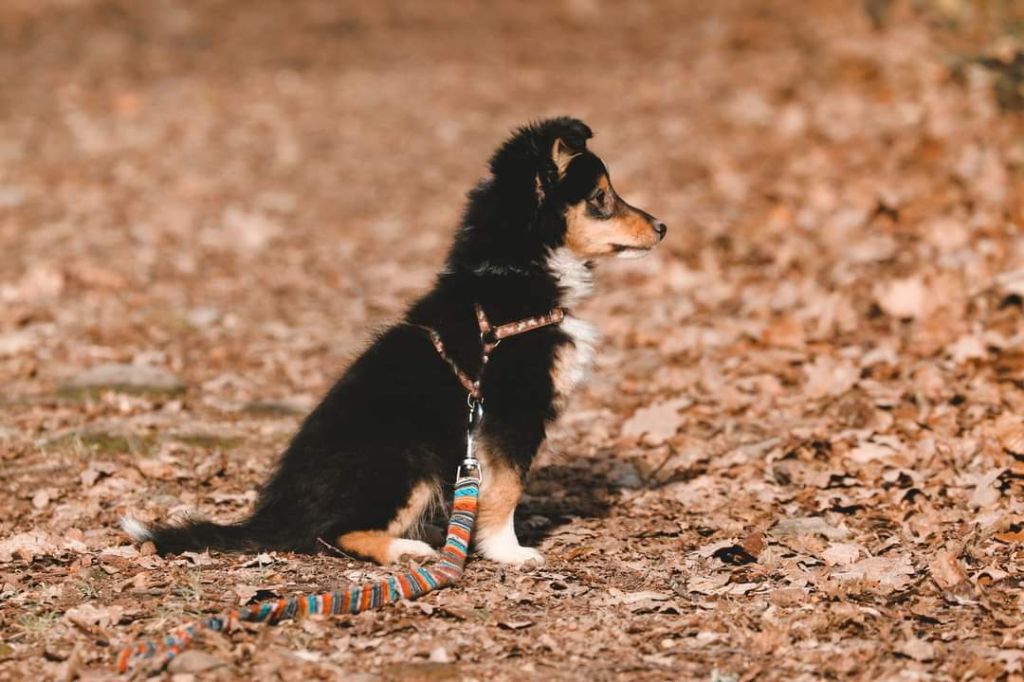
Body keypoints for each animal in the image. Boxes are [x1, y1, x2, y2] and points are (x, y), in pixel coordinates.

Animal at [121, 116, 663, 561]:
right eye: (600, 198)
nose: (661, 226)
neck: (514, 277)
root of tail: (277, 516)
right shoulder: (511, 413)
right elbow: (507, 488)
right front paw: (508, 552)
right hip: (409, 463)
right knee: (333, 535)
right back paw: (408, 550)